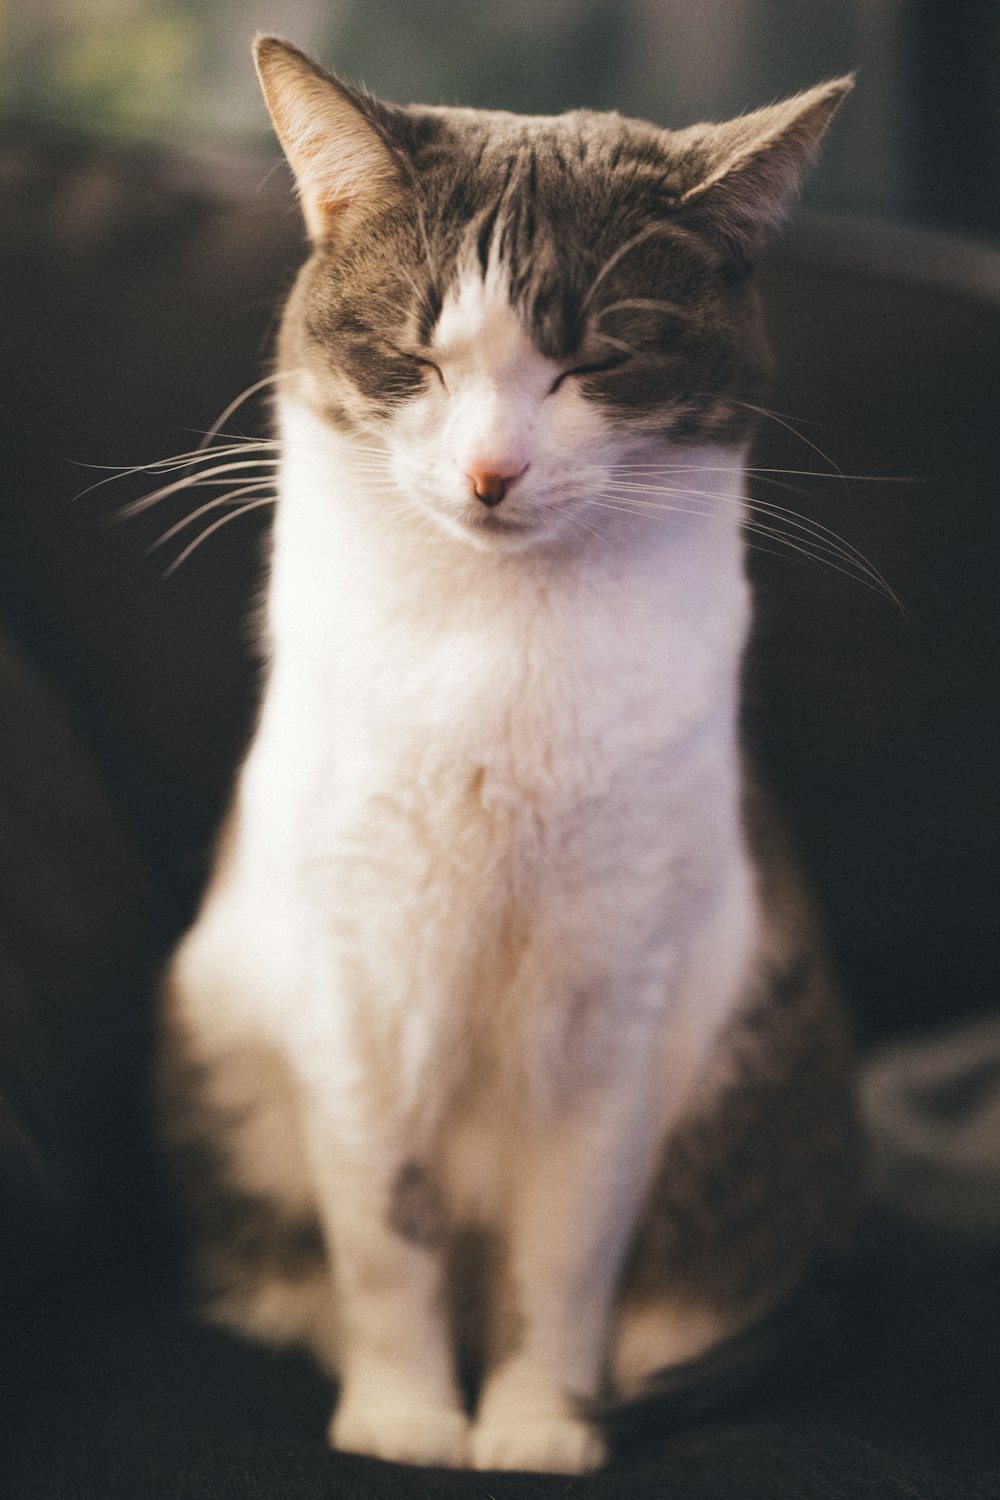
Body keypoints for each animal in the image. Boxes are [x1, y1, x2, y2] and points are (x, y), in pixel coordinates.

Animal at [158, 38, 863, 1476]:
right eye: (409, 357)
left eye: (596, 359)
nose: (490, 473)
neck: (495, 644)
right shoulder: (352, 980)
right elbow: (386, 1236)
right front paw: (404, 1421)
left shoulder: (620, 995)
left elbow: (565, 1255)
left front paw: (538, 1426)